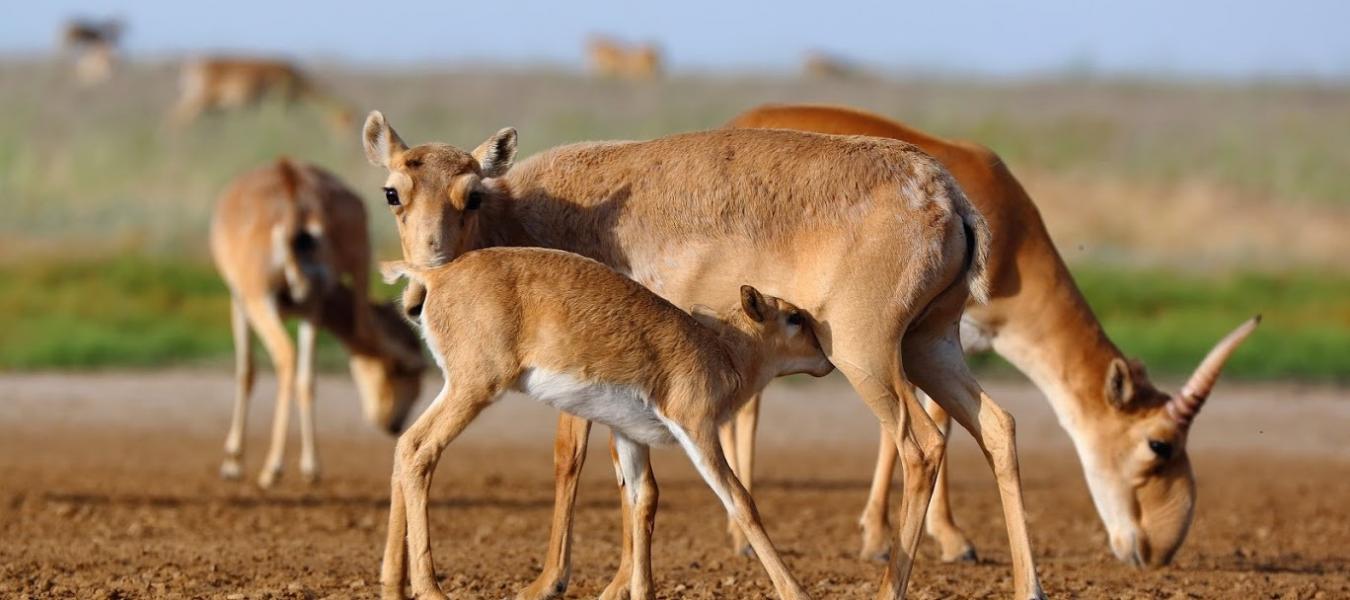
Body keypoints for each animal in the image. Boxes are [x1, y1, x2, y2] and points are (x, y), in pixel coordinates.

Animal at [168, 57, 356, 132]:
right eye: (344, 120)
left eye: (349, 120)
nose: (348, 147)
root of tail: (193, 65)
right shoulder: (280, 102)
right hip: (200, 99)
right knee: (176, 119)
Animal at [209, 158, 426, 486]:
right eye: (399, 371)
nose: (394, 424)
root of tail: (292, 191)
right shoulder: (309, 310)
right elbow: (303, 379)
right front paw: (309, 467)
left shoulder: (241, 302)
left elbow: (246, 372)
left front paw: (233, 462)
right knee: (309, 373)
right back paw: (308, 466)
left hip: (261, 299)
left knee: (287, 356)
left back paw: (272, 468)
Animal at [375, 248, 826, 600]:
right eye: (794, 318)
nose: (825, 359)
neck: (721, 352)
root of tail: (437, 276)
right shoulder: (698, 431)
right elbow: (740, 500)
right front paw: (796, 591)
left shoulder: (630, 436)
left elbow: (642, 499)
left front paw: (643, 592)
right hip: (474, 390)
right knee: (419, 450)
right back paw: (430, 588)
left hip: (459, 389)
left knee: (403, 446)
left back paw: (394, 586)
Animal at [723, 103, 1258, 567]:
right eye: (1159, 444)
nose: (1158, 550)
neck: (1009, 233)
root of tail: (740, 122)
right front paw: (900, 539)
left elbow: (938, 423)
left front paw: (938, 538)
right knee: (748, 405)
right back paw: (740, 539)